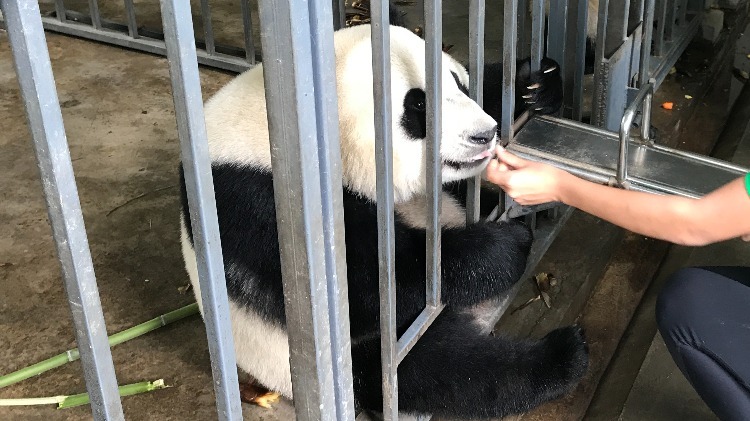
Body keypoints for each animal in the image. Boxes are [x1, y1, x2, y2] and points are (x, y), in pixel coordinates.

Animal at [179, 24, 592, 418]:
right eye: (419, 105)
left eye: (458, 84)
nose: (485, 133)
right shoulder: (259, 204)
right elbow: (365, 287)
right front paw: (504, 247)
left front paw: (536, 83)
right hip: (333, 356)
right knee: (443, 369)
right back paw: (561, 356)